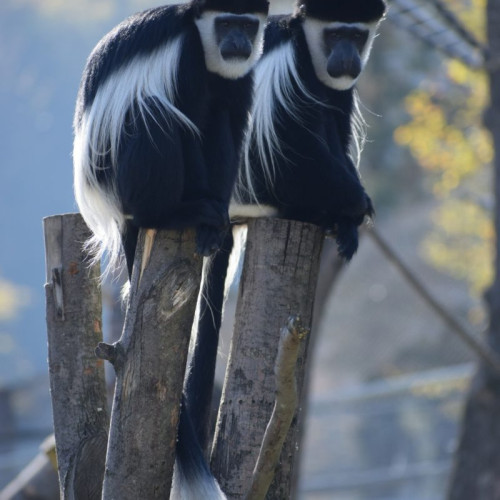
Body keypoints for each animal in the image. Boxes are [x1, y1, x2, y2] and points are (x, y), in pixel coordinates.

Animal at [72, 1, 268, 498]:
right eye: (226, 23)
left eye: (247, 24)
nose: (237, 42)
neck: (207, 49)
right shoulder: (185, 61)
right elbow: (188, 117)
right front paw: (203, 215)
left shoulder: (240, 79)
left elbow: (228, 123)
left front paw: (218, 223)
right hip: (122, 175)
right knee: (152, 116)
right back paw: (176, 214)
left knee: (212, 122)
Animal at [187, 0, 386, 468]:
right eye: (335, 35)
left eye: (356, 35)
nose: (346, 56)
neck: (306, 52)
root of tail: (231, 214)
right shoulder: (287, 73)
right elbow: (296, 143)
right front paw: (358, 206)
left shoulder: (338, 87)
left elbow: (336, 125)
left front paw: (352, 217)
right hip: (267, 190)